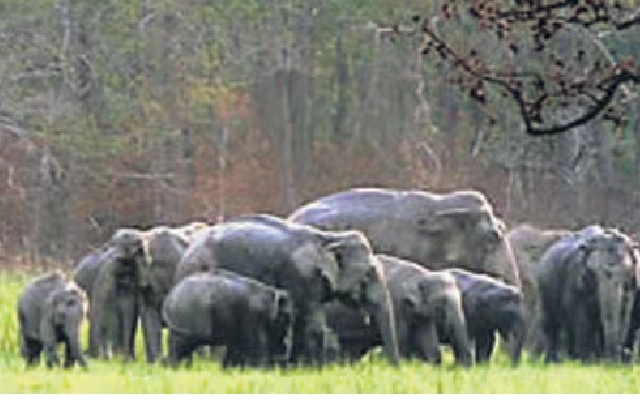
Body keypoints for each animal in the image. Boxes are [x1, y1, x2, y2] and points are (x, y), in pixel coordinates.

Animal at [162, 271, 294, 368]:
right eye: (286, 317)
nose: (283, 357)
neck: (271, 293)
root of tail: (169, 297)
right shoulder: (252, 316)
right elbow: (256, 343)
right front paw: (259, 369)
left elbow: (235, 344)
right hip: (186, 317)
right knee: (180, 347)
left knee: (182, 347)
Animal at [174, 213, 401, 366]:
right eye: (368, 275)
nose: (394, 369)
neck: (328, 238)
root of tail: (187, 252)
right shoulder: (301, 277)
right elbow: (312, 324)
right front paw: (311, 368)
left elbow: (301, 324)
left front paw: (294, 367)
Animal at [325, 254, 473, 366]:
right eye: (442, 301)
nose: (459, 366)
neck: (422, 275)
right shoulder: (396, 303)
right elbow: (401, 336)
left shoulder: (422, 314)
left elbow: (428, 340)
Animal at [534, 225, 640, 363]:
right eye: (593, 272)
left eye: (628, 271)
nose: (612, 360)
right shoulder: (574, 278)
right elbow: (579, 314)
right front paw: (584, 360)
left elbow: (627, 312)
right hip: (544, 287)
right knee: (551, 322)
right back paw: (555, 360)